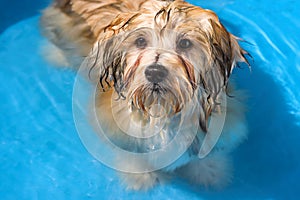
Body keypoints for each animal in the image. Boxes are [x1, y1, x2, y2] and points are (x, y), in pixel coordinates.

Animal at [41, 0, 250, 191]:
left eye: (185, 43)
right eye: (140, 41)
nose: (155, 72)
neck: (162, 109)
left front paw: (210, 170)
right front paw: (142, 176)